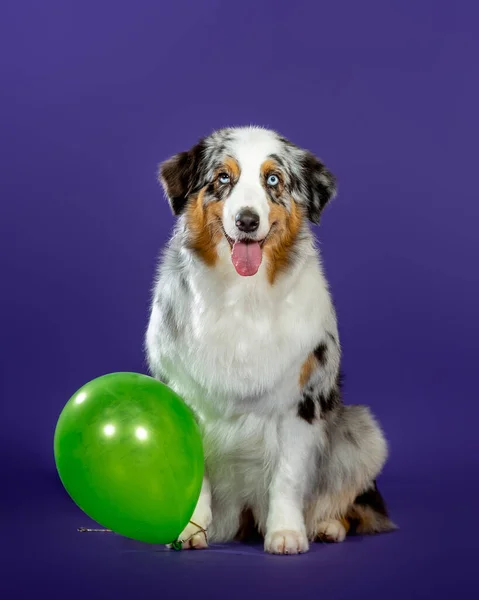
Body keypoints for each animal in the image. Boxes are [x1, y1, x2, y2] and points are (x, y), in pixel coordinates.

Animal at [146, 125, 398, 552]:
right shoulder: (184, 396)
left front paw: (286, 534)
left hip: (363, 430)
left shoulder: (300, 404)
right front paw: (191, 531)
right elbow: (197, 476)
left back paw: (327, 527)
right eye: (222, 178)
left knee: (352, 505)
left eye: (274, 180)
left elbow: (288, 476)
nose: (247, 221)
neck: (242, 297)